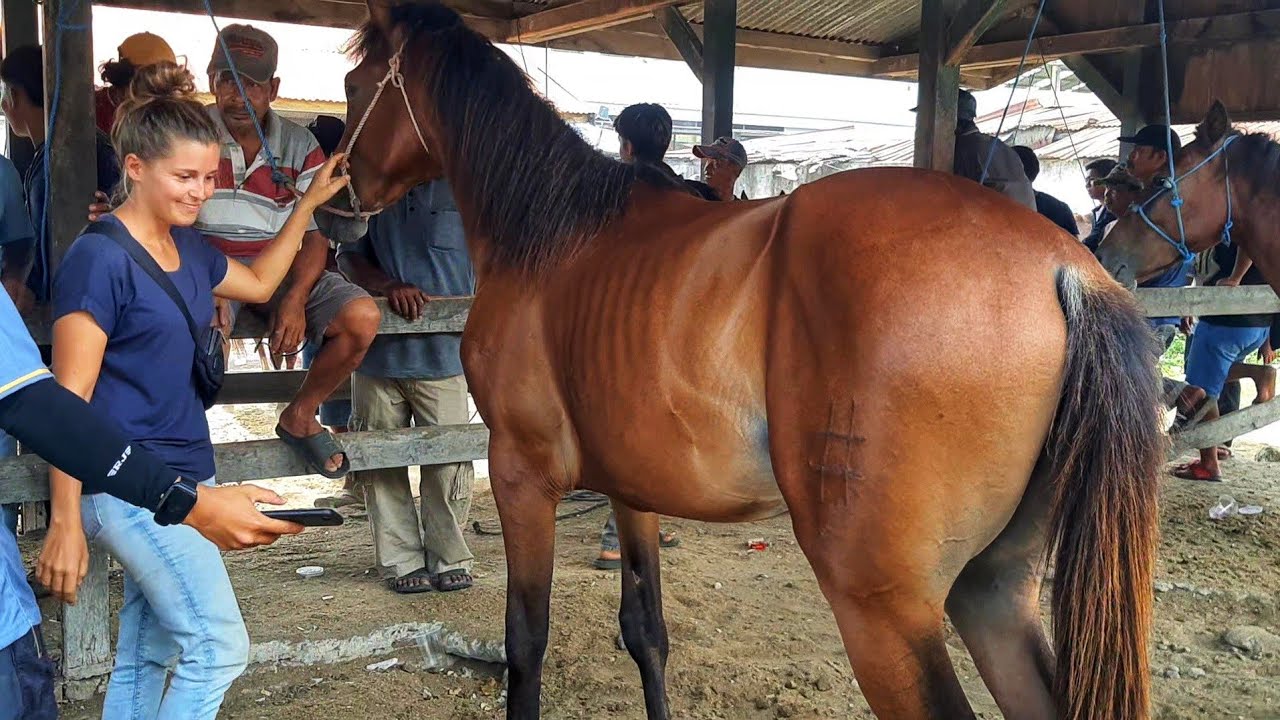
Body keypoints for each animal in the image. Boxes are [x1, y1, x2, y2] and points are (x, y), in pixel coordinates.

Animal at [317, 3, 1164, 719]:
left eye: (357, 84)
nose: (330, 207)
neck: (551, 235)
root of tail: (1067, 270)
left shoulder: (521, 474)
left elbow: (526, 643)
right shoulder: (633, 488)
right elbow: (645, 630)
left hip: (885, 607)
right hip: (993, 592)